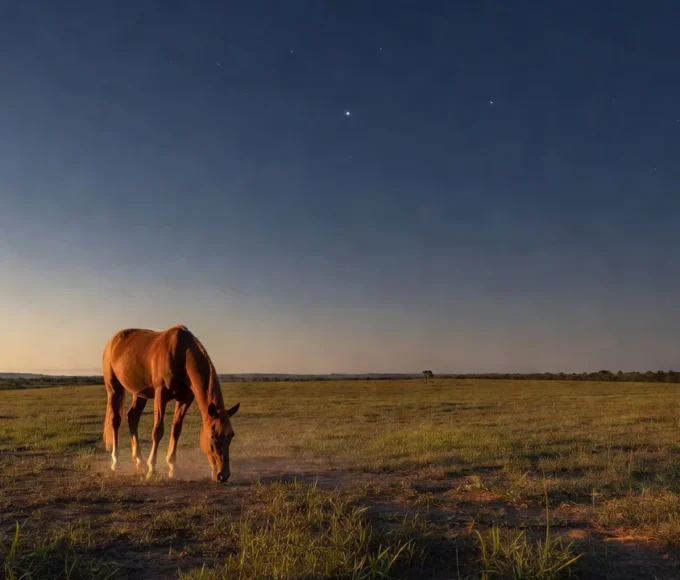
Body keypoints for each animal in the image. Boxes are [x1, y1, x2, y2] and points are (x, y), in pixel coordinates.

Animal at [101, 324, 240, 483]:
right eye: (212, 436)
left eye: (231, 435)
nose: (223, 475)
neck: (182, 354)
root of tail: (112, 342)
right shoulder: (160, 394)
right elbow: (157, 431)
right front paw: (152, 470)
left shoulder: (185, 399)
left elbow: (176, 429)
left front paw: (173, 468)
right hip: (113, 388)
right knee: (115, 421)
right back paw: (116, 462)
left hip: (140, 393)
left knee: (133, 417)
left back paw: (140, 462)